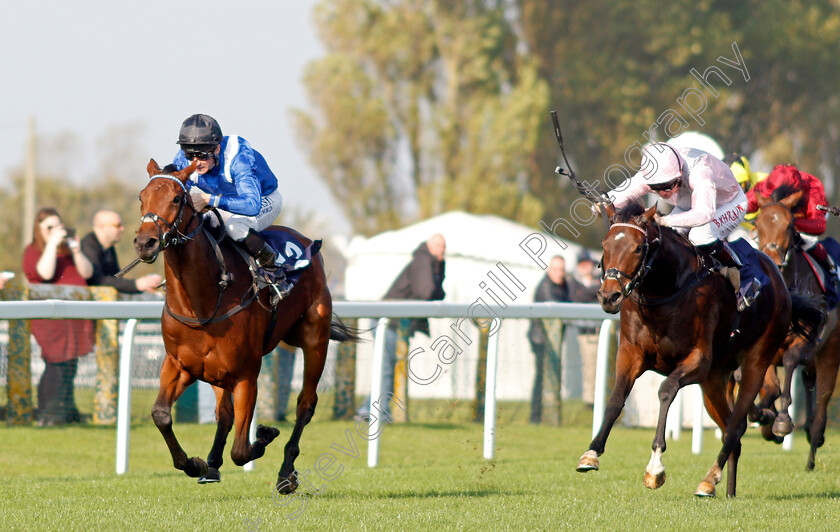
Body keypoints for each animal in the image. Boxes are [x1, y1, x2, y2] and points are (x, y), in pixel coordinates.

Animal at [134, 160, 358, 492]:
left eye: (177, 198)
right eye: (142, 197)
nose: (144, 242)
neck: (202, 302)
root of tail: (307, 243)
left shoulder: (246, 375)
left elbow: (241, 450)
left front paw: (265, 434)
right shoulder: (180, 365)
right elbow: (161, 414)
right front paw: (195, 463)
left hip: (314, 340)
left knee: (305, 404)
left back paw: (286, 472)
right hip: (216, 371)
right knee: (224, 414)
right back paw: (212, 465)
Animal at [576, 202, 820, 496]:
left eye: (637, 248)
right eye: (605, 244)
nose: (608, 296)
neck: (665, 291)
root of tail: (780, 282)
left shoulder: (698, 360)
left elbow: (666, 390)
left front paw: (655, 467)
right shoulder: (630, 353)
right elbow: (615, 398)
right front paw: (591, 453)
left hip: (758, 359)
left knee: (736, 424)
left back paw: (711, 477)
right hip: (713, 381)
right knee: (731, 430)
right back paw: (726, 488)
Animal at [752, 188, 836, 470]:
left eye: (789, 226)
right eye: (758, 224)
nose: (774, 262)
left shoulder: (805, 342)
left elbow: (788, 362)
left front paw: (781, 421)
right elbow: (770, 387)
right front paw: (764, 417)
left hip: (830, 353)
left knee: (822, 401)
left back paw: (812, 449)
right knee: (809, 384)